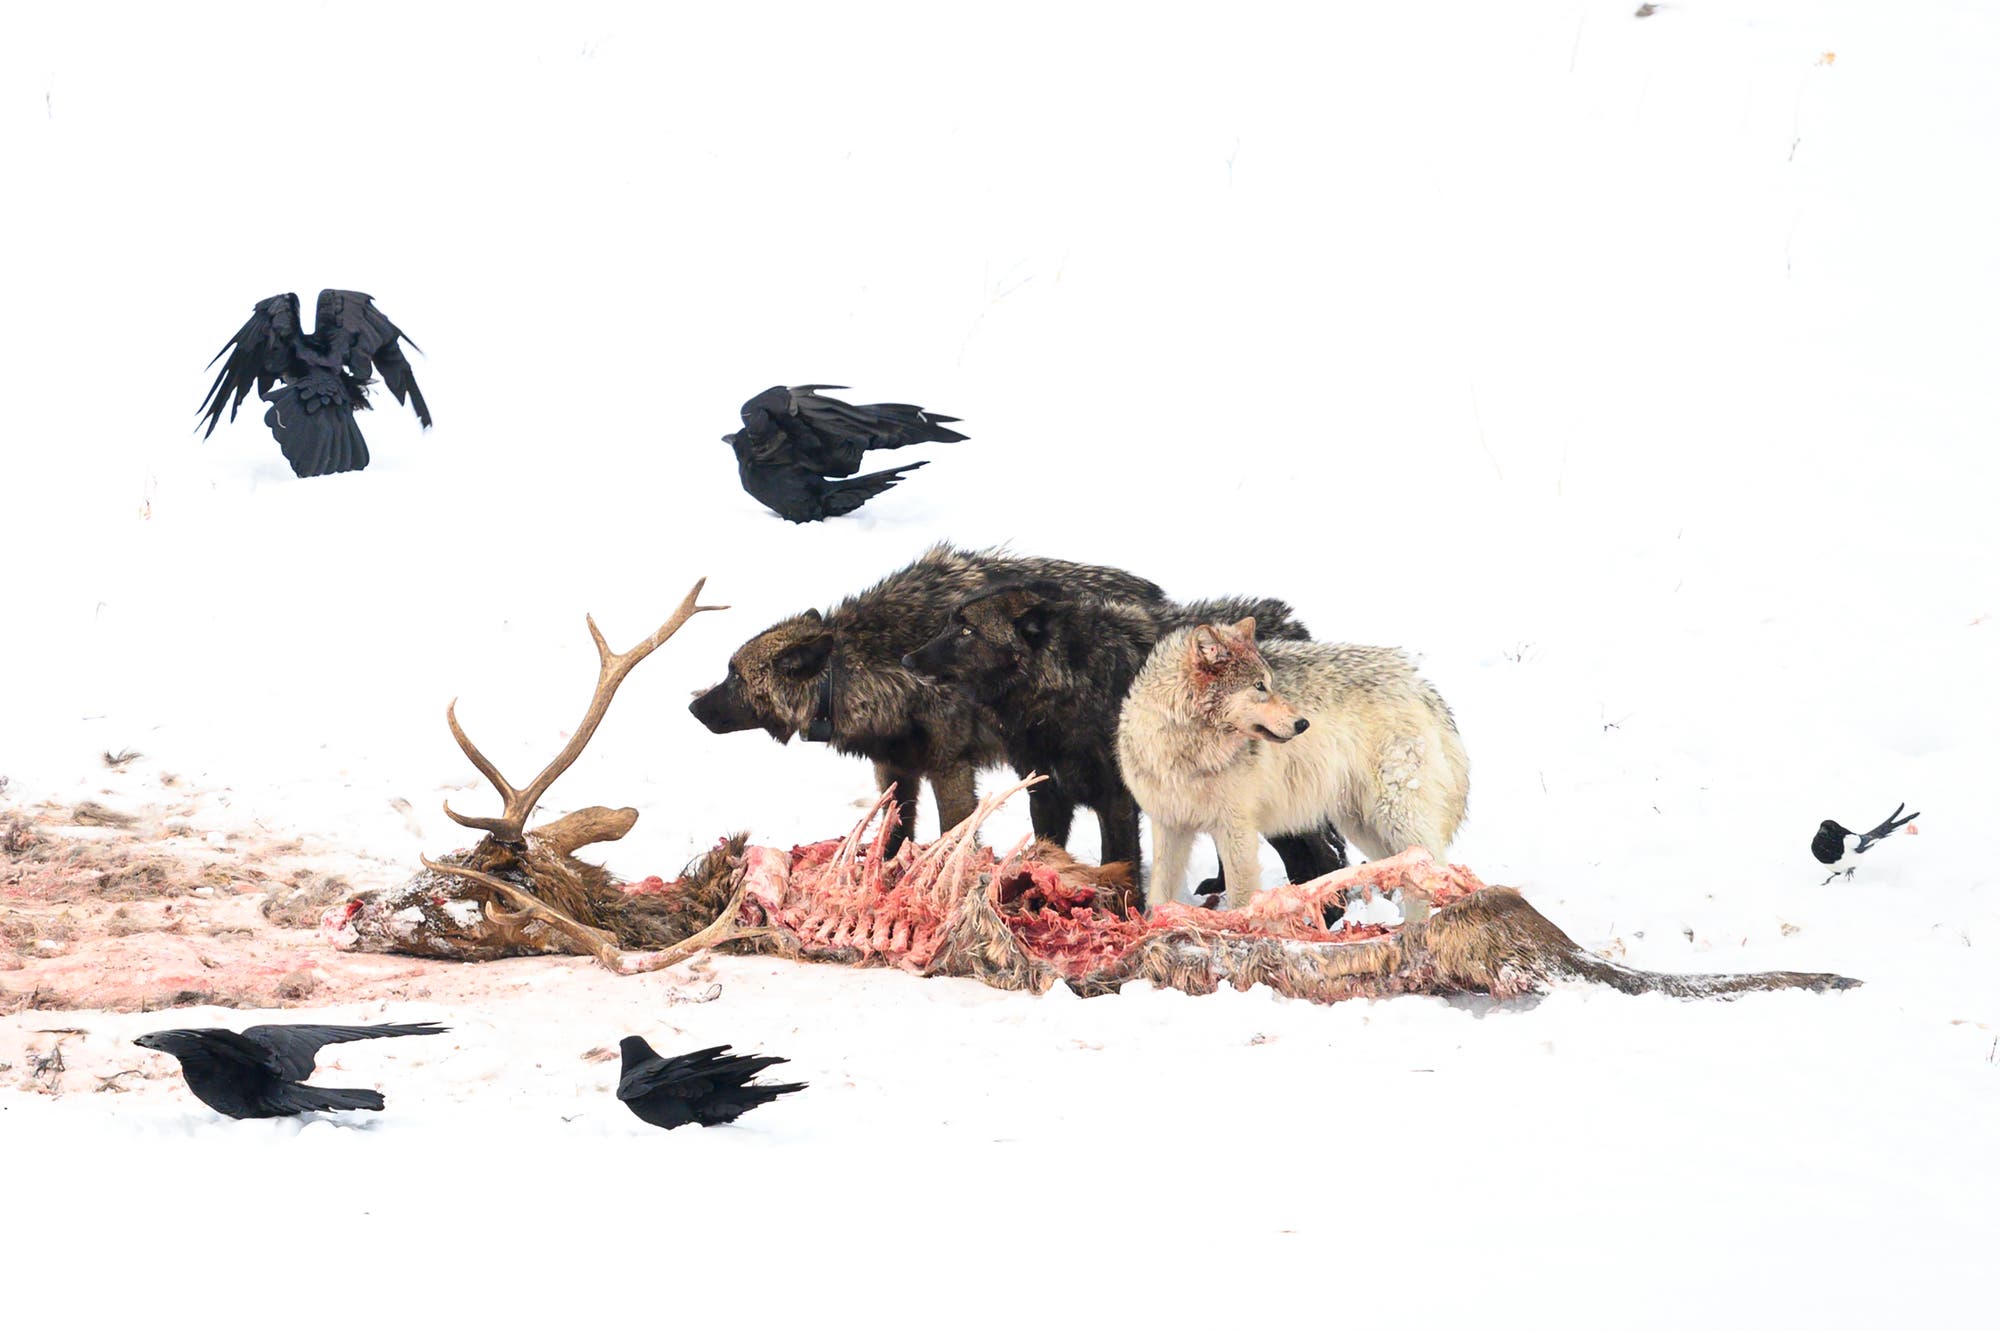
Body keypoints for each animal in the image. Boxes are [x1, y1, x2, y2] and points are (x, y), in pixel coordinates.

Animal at [688, 544, 1164, 856]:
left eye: (733, 674)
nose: (693, 708)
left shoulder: (950, 768)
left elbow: (953, 832)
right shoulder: (895, 768)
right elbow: (893, 832)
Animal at [902, 581, 1349, 900]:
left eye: (966, 630)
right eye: (949, 623)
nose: (907, 659)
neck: (1066, 687)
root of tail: (1296, 627)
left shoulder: (1115, 800)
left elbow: (1119, 865)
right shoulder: (1046, 795)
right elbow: (1048, 852)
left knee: (1323, 858)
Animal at [1117, 617, 1469, 913]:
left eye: (1269, 683)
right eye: (1259, 686)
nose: (1303, 724)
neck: (1186, 752)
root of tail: (1419, 684)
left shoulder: (1236, 829)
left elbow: (1241, 897)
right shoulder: (1169, 824)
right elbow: (1159, 893)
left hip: (1395, 816)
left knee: (1431, 870)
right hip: (1361, 825)